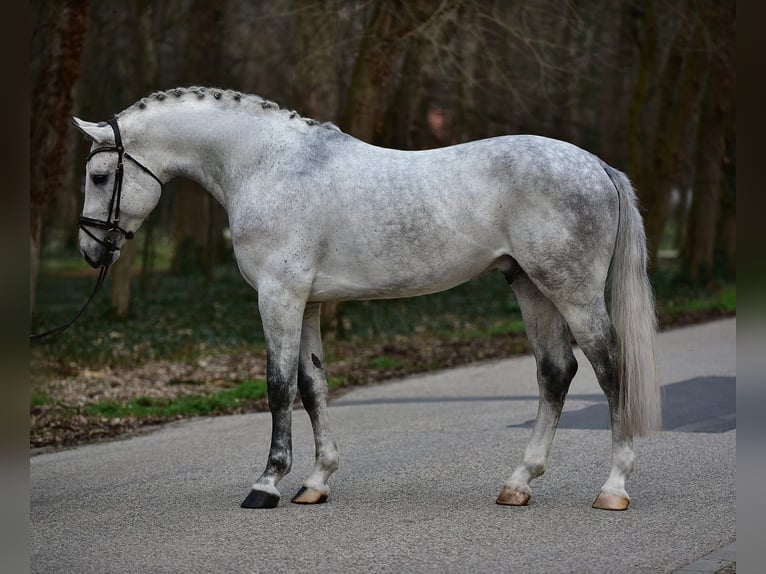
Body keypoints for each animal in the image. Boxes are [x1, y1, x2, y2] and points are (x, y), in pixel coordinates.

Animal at [73, 86, 660, 511]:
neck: (266, 164)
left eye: (100, 175)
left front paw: (267, 483)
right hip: (531, 287)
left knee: (611, 369)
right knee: (555, 372)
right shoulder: (307, 302)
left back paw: (613, 488)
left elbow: (278, 385)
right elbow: (313, 385)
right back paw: (519, 483)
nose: (90, 250)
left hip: (573, 292)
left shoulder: (278, 297)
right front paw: (315, 481)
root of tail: (598, 166)